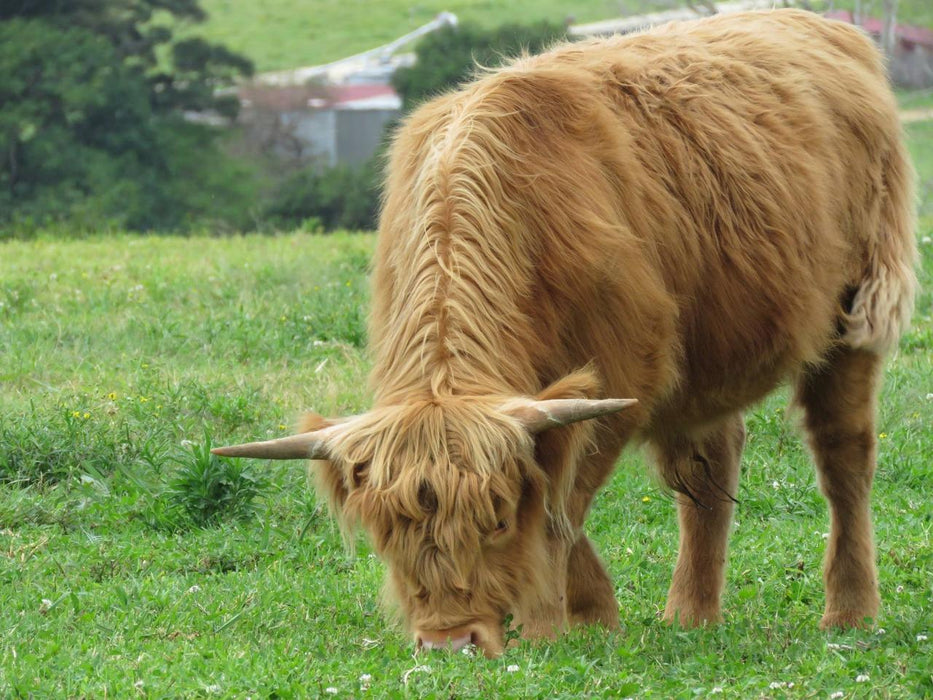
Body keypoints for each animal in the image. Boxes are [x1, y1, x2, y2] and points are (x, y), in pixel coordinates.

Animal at [213, 9, 916, 656]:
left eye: (496, 519)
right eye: (386, 530)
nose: (449, 642)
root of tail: (822, 26)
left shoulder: (617, 375)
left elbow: (559, 505)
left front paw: (564, 621)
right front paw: (590, 615)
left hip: (857, 312)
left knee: (843, 455)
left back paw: (850, 612)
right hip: (707, 358)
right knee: (710, 469)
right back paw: (690, 615)